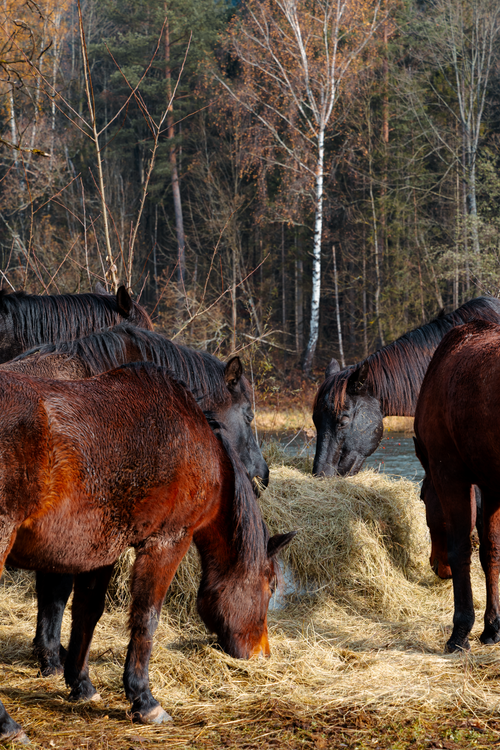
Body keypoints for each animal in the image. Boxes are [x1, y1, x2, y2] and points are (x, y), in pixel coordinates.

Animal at [0, 363, 295, 743]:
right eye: (269, 587)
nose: (262, 654)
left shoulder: (101, 549)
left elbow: (87, 613)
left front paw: (81, 685)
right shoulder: (167, 542)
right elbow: (146, 617)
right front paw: (144, 699)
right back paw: (8, 726)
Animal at [414, 319, 500, 652]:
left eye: (423, 497)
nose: (437, 567)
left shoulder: (449, 475)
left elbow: (461, 548)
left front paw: (460, 631)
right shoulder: (491, 486)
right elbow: (490, 550)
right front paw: (492, 627)